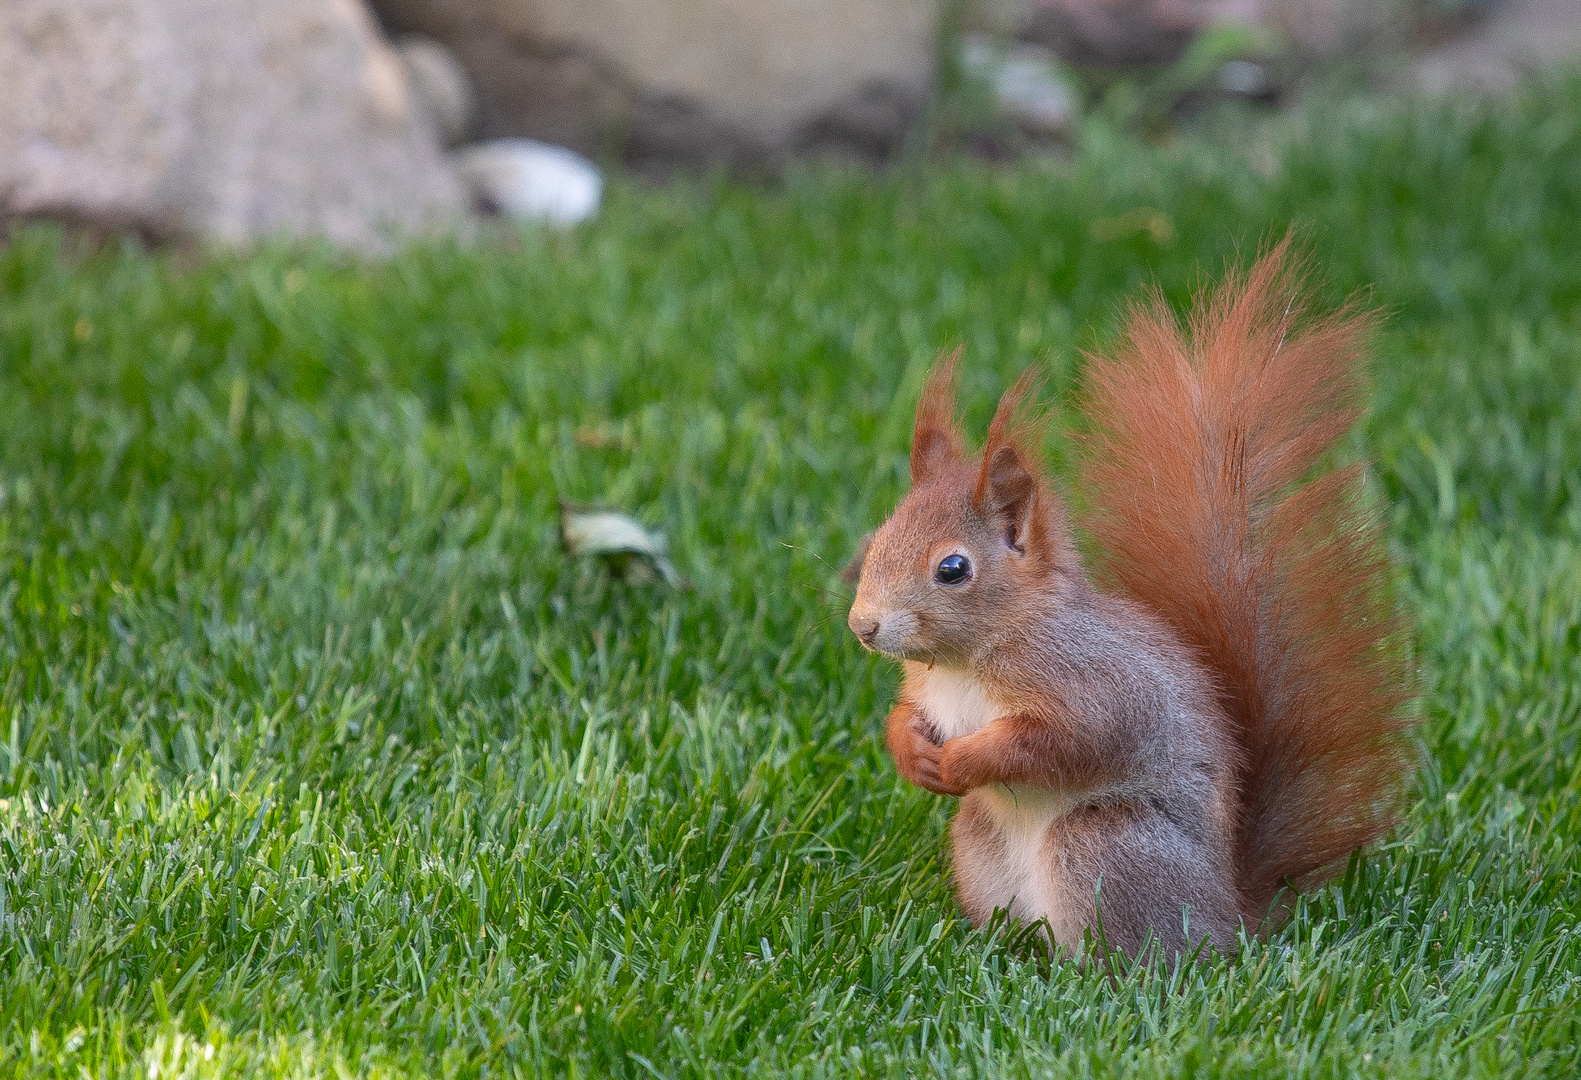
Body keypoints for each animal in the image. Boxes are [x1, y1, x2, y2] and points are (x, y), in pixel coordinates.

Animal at [847, 245, 1416, 961]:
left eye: (953, 569)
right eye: (875, 540)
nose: (862, 626)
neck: (968, 660)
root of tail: (1229, 912)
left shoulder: (1094, 682)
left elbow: (1066, 739)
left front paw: (961, 758)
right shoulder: (926, 690)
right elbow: (906, 716)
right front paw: (914, 754)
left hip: (1106, 846)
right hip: (979, 841)